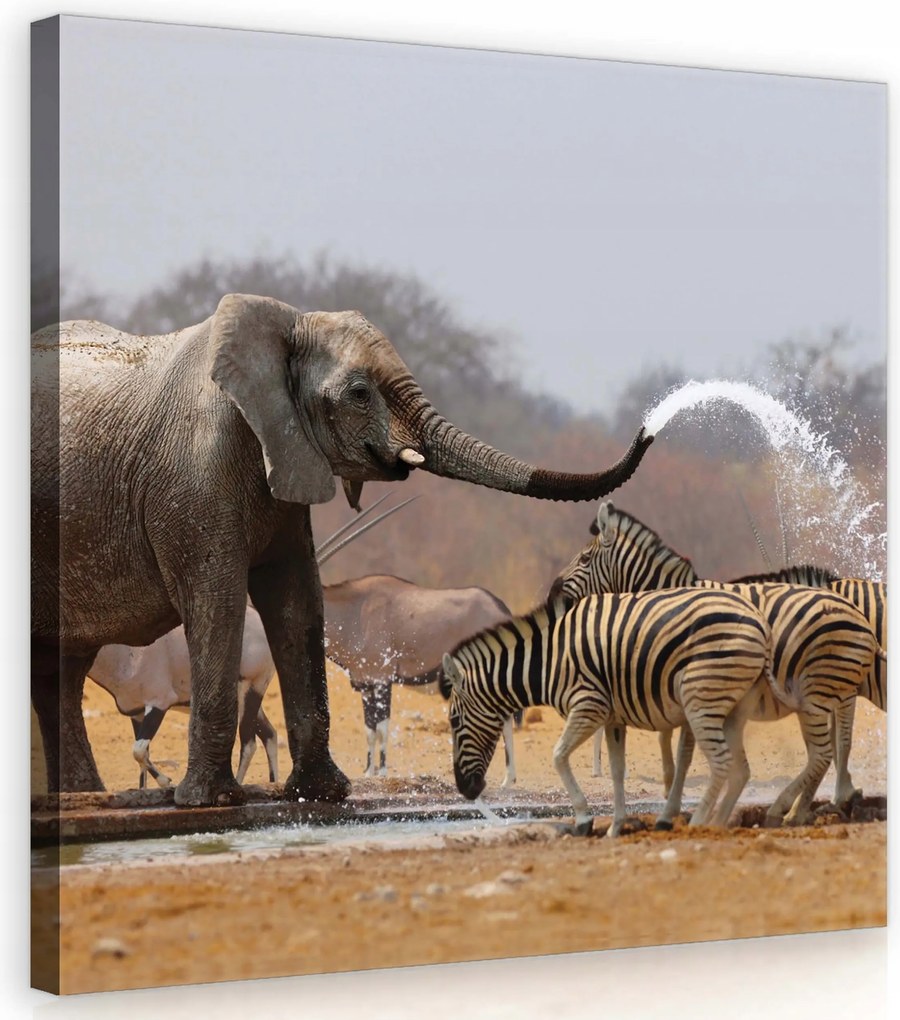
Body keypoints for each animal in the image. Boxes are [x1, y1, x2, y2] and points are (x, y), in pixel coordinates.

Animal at [443, 587, 774, 836]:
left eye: (454, 721)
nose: (467, 790)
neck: (549, 660)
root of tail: (758, 619)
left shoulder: (589, 705)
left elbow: (558, 756)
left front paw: (584, 819)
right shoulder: (614, 718)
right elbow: (616, 771)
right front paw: (615, 827)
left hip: (700, 699)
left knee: (721, 763)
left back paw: (698, 823)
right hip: (731, 706)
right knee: (738, 769)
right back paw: (716, 822)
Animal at [549, 501, 886, 824]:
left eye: (584, 559)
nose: (553, 593)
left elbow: (680, 749)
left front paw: (673, 802)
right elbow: (669, 742)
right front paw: (672, 796)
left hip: (822, 689)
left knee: (829, 747)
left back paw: (795, 807)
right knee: (829, 747)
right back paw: (808, 807)